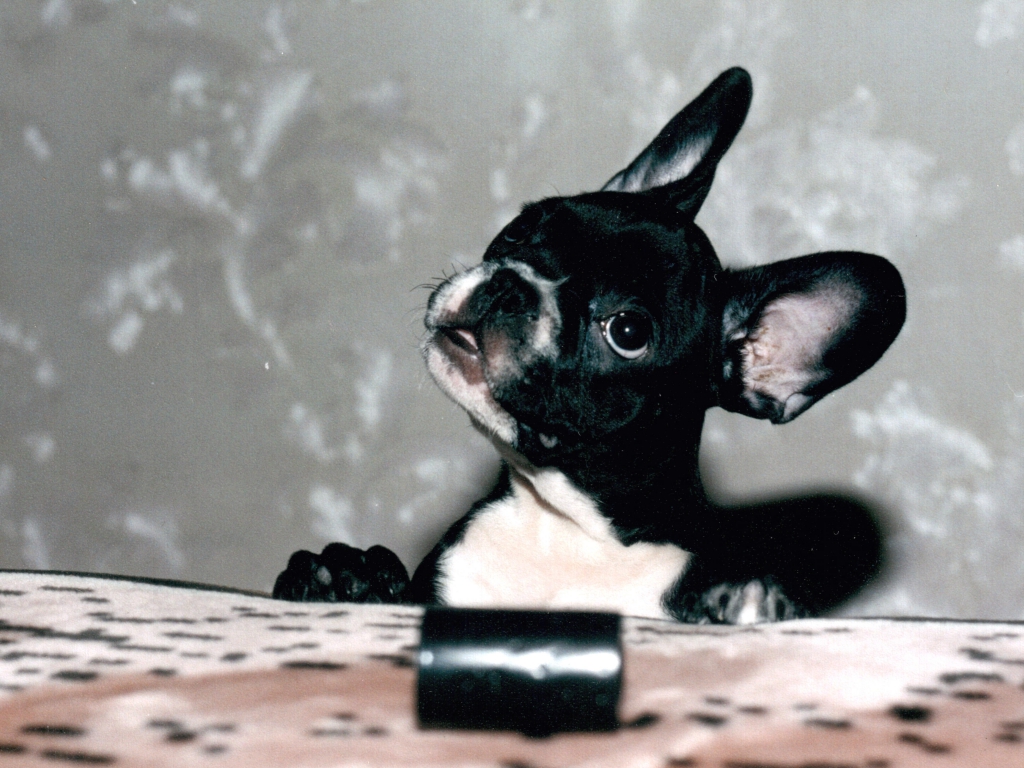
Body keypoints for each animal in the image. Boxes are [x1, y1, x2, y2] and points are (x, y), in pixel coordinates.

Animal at [273, 67, 906, 623]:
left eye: (627, 332)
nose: (509, 285)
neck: (562, 529)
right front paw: (344, 575)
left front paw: (750, 605)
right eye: (519, 230)